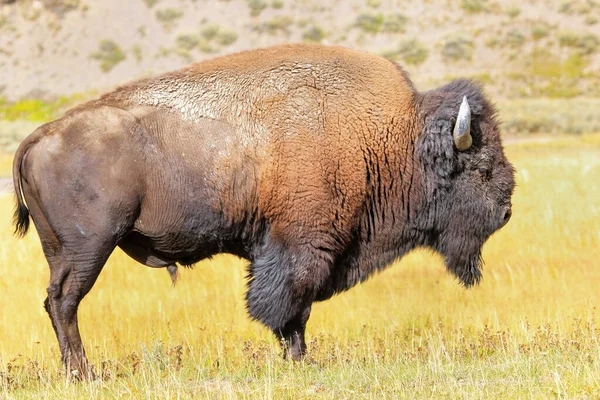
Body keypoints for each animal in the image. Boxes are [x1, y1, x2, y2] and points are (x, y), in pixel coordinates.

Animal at [11, 43, 512, 378]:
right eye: (482, 166)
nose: (507, 211)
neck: (389, 138)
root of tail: (40, 136)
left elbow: (295, 308)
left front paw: (298, 357)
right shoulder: (302, 248)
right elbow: (290, 306)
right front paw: (299, 358)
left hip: (63, 251)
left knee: (55, 301)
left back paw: (78, 371)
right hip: (89, 248)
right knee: (65, 301)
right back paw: (84, 374)